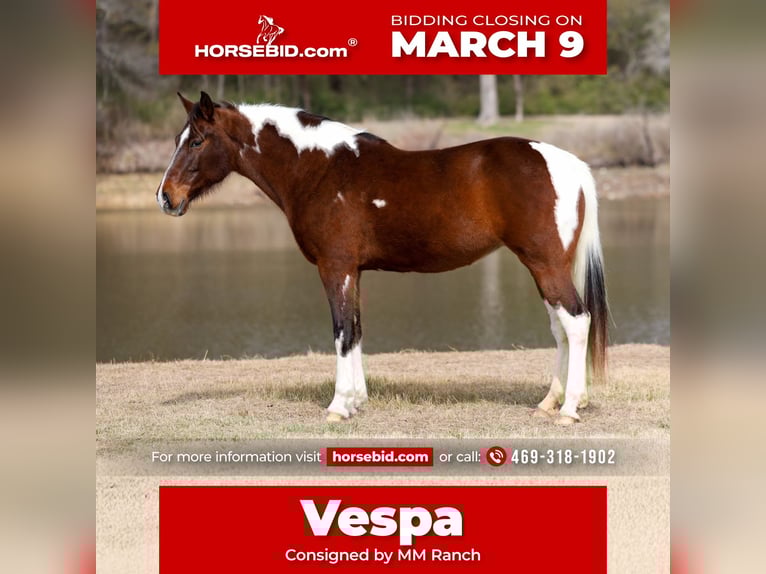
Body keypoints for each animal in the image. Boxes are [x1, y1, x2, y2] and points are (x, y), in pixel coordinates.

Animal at [156, 91, 609, 426]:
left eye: (196, 141)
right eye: (180, 139)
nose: (165, 197)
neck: (319, 170)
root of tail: (568, 163)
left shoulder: (335, 267)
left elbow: (341, 331)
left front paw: (338, 407)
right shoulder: (353, 271)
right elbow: (356, 330)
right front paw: (357, 401)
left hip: (544, 264)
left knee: (576, 321)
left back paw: (569, 409)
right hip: (547, 267)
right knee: (561, 327)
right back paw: (551, 402)